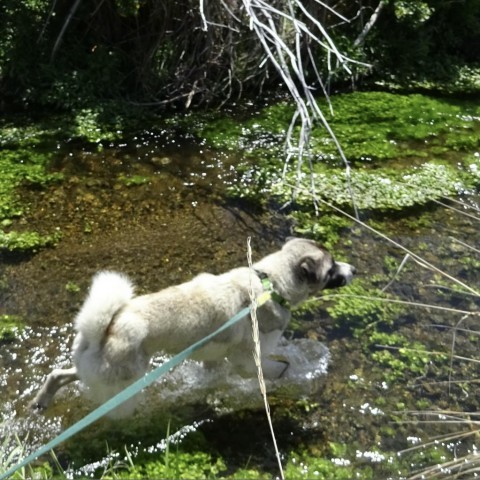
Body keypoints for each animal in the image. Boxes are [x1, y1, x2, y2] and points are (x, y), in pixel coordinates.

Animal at [31, 238, 354, 414]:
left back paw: (41, 401)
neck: (269, 284)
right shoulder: (247, 361)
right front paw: (290, 372)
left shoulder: (214, 360)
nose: (353, 269)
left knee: (58, 375)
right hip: (126, 378)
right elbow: (277, 368)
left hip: (94, 370)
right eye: (331, 268)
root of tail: (102, 330)